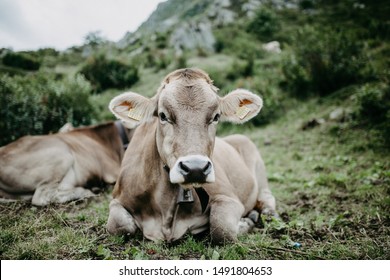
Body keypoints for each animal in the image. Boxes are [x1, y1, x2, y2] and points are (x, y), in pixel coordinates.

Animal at [106, 68, 278, 243]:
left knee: (266, 197)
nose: (196, 168)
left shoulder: (228, 197)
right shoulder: (117, 198)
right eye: (162, 115)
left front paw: (245, 222)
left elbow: (222, 228)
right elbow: (119, 225)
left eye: (216, 116)